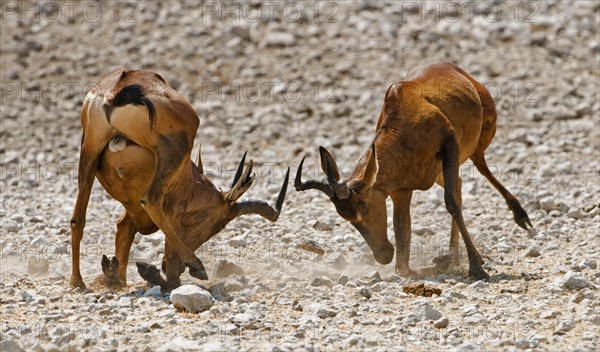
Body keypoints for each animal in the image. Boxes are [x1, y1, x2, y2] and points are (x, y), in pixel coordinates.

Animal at [69, 69, 290, 288]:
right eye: (217, 224)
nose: (179, 268)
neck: (189, 179)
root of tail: (122, 85)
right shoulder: (174, 208)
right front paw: (171, 276)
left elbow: (123, 231)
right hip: (170, 152)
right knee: (151, 201)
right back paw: (196, 266)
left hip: (89, 151)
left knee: (77, 219)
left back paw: (78, 281)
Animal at [292, 62, 532, 280]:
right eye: (345, 216)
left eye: (364, 208)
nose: (383, 255)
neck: (404, 109)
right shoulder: (400, 191)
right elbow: (402, 235)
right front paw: (428, 265)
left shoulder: (449, 144)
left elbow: (451, 203)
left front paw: (476, 268)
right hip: (439, 172)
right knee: (460, 183)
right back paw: (452, 257)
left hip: (474, 146)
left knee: (480, 168)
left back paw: (520, 217)